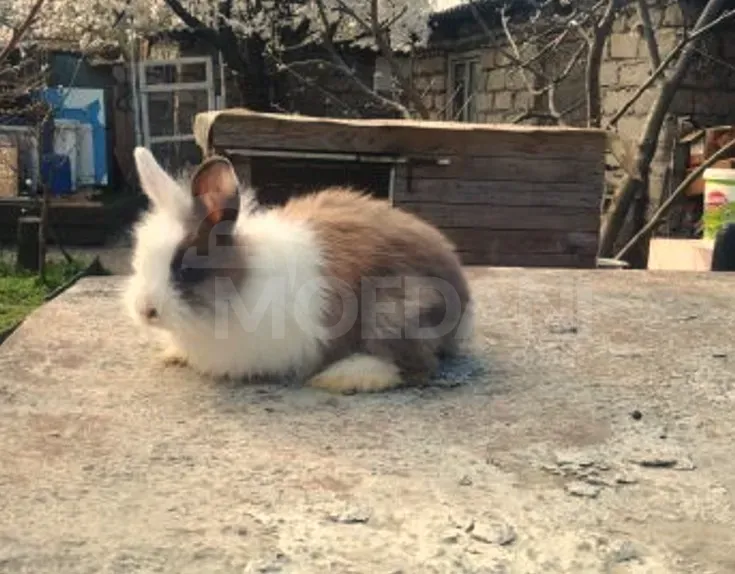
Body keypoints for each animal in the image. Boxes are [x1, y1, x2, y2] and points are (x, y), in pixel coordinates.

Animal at [124, 146, 474, 394]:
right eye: (139, 259)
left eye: (187, 269)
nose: (145, 310)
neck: (241, 279)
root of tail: (462, 295)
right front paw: (173, 353)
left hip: (394, 311)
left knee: (414, 367)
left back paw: (343, 377)